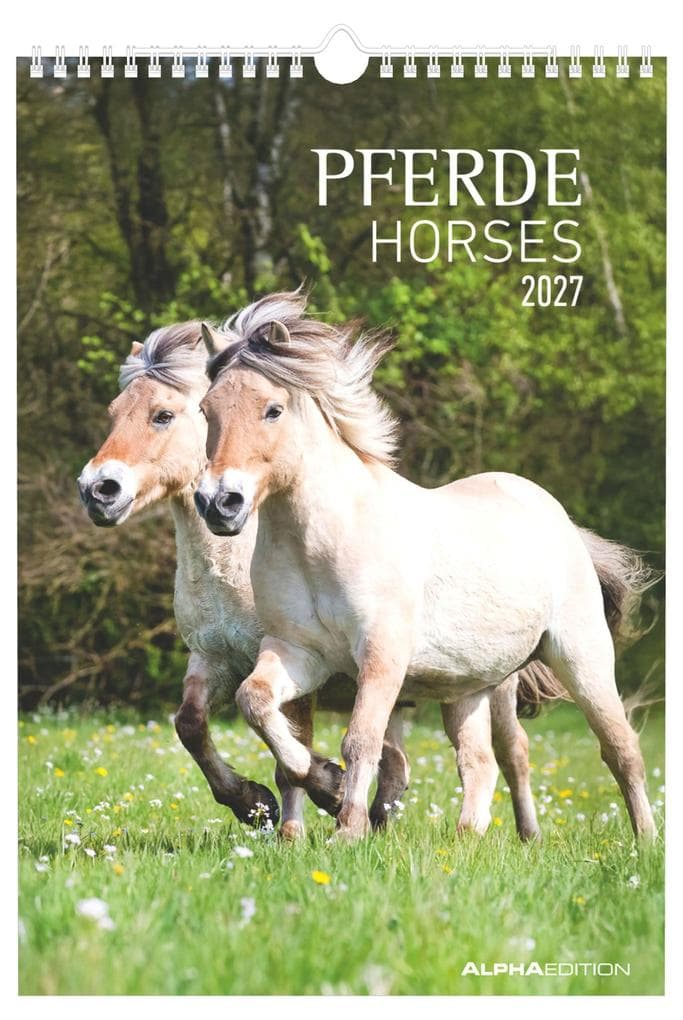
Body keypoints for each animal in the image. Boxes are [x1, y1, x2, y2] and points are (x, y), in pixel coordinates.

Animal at [77, 320, 559, 841]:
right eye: (114, 413)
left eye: (162, 415)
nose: (97, 490)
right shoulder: (215, 659)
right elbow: (191, 725)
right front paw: (255, 805)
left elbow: (290, 752)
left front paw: (319, 796)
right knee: (400, 764)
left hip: (495, 684)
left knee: (512, 753)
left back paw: (527, 835)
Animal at [195, 290, 657, 843]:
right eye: (205, 410)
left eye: (273, 409)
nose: (219, 503)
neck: (321, 544)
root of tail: (560, 520)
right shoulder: (296, 652)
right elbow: (256, 701)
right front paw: (322, 782)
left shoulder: (382, 656)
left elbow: (362, 740)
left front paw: (346, 823)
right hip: (469, 687)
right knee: (481, 762)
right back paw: (465, 841)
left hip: (581, 656)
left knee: (619, 748)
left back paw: (645, 840)